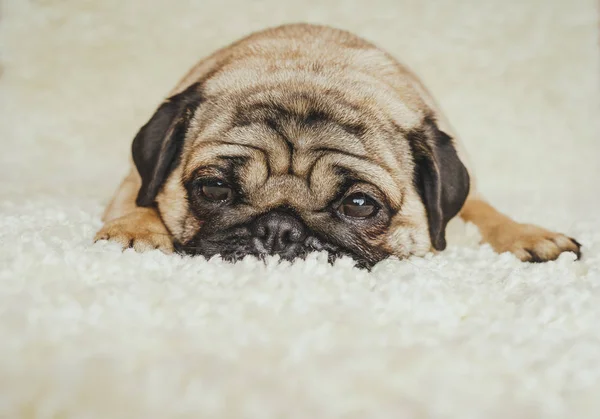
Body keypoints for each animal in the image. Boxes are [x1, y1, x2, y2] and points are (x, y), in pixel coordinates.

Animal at [95, 23, 580, 270]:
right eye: (214, 189)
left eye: (359, 204)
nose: (278, 228)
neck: (314, 63)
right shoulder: (133, 179)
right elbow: (140, 199)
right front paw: (136, 229)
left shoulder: (470, 190)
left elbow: (487, 212)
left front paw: (528, 234)